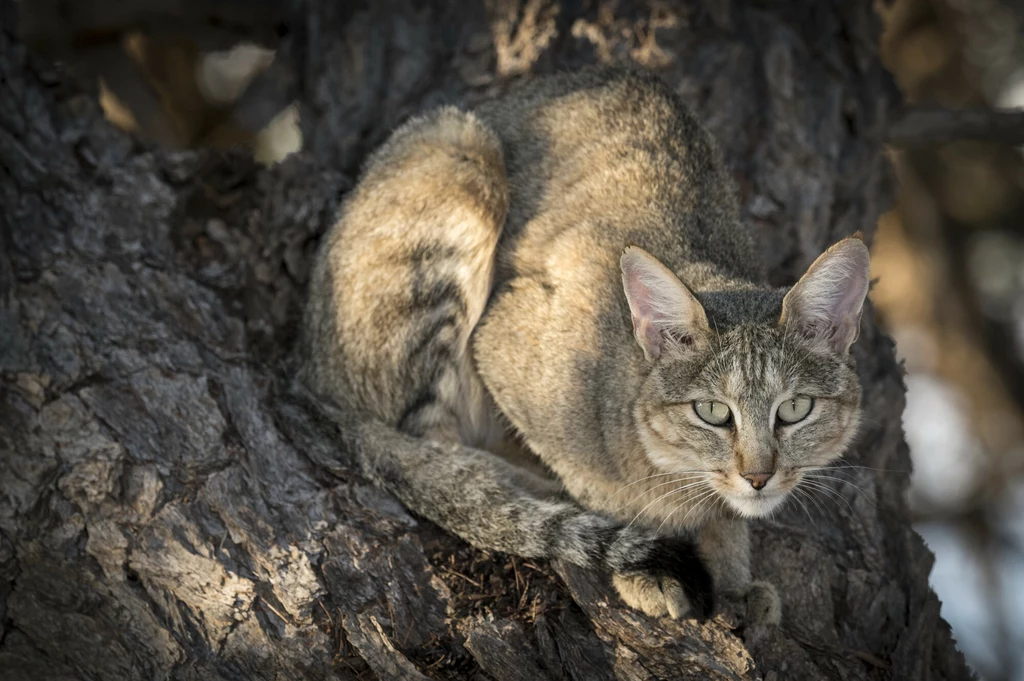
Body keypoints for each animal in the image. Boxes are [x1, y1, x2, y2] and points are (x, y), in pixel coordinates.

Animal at [299, 66, 868, 622]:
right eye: (712, 412)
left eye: (794, 409)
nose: (758, 477)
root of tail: (308, 371)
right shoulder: (499, 343)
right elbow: (592, 482)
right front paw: (644, 557)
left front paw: (731, 575)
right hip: (461, 153)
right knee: (426, 453)